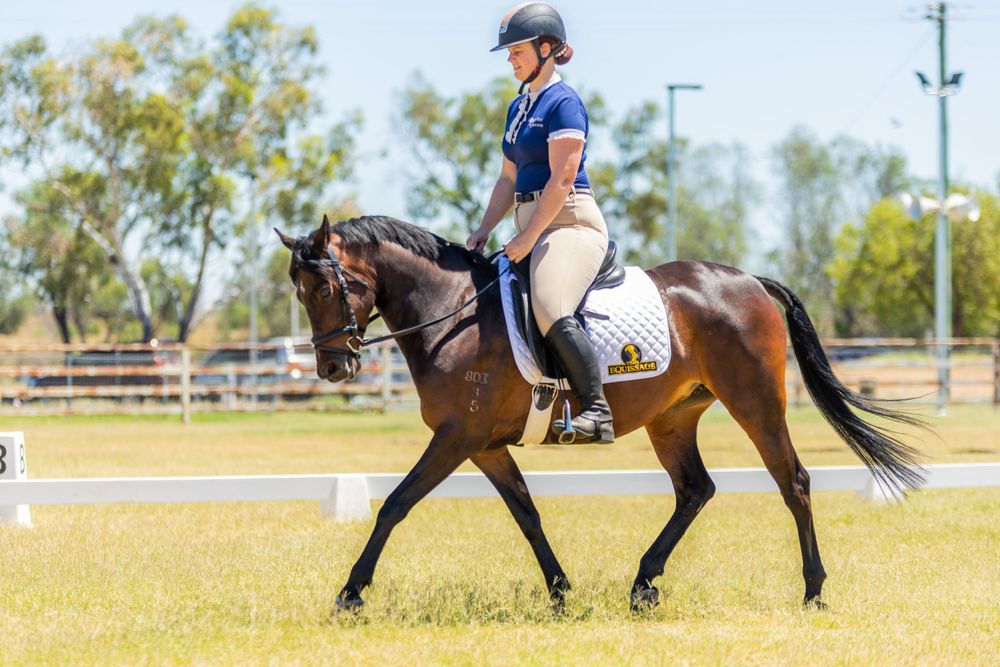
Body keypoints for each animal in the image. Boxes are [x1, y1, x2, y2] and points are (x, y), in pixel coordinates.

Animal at [276, 214, 924, 614]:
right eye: (299, 295)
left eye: (327, 290)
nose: (331, 367)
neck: (453, 311)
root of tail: (750, 282)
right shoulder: (484, 444)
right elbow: (527, 514)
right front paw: (561, 591)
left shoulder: (458, 436)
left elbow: (395, 504)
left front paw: (351, 593)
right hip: (672, 418)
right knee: (696, 489)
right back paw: (643, 584)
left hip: (756, 402)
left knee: (794, 482)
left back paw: (813, 592)